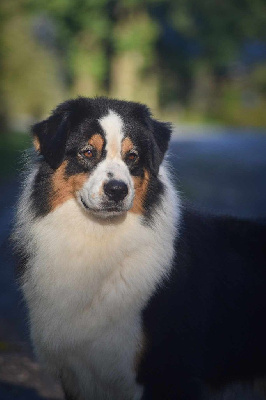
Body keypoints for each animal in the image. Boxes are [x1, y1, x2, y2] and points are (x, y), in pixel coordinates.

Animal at [13, 97, 266, 400]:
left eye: (132, 156)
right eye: (87, 152)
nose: (117, 190)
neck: (100, 236)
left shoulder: (167, 375)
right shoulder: (77, 375)